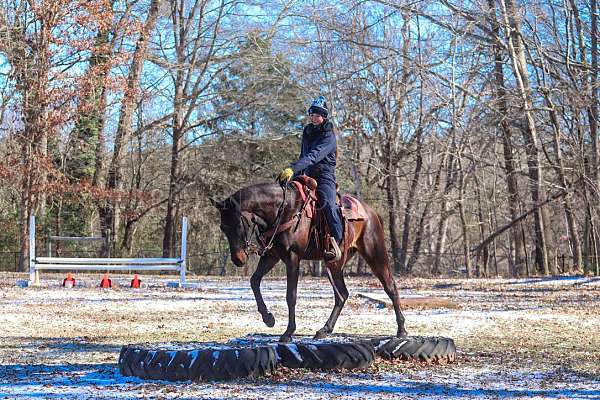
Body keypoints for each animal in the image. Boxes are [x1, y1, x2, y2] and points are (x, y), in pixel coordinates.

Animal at [212, 181, 408, 344]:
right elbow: (254, 281)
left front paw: (288, 332)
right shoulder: (272, 256)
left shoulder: (292, 258)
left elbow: (291, 295)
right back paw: (325, 329)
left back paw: (402, 330)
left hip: (374, 254)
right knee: (342, 295)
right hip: (334, 265)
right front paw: (268, 318)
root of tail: (371, 213)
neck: (283, 211)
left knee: (390, 287)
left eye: (238, 224)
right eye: (223, 227)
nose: (238, 259)